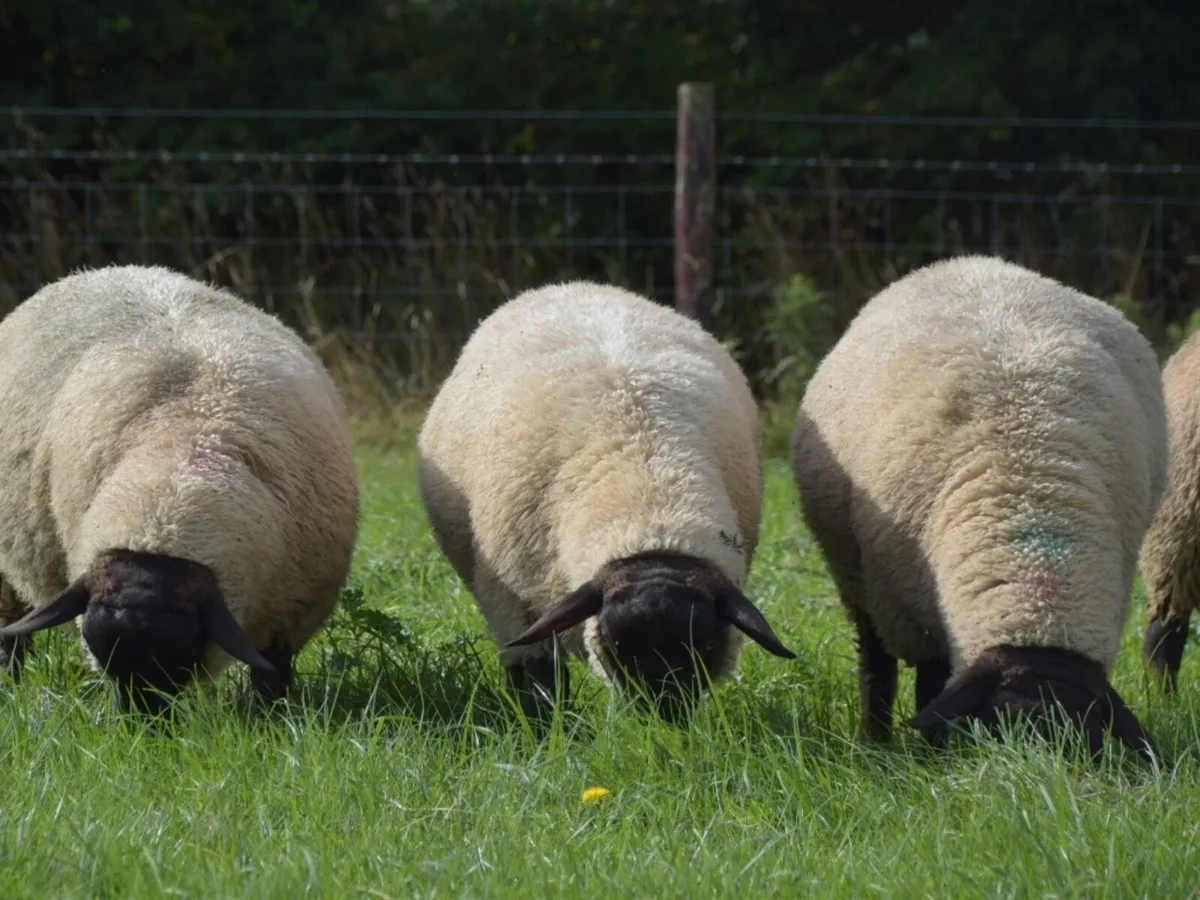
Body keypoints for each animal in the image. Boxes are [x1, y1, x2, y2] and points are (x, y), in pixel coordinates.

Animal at [0, 265, 359, 713]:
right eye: (101, 652)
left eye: (180, 651)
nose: (145, 723)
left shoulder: (290, 609)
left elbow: (271, 673)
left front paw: (270, 714)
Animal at [416, 280, 795, 723]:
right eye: (617, 645)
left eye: (705, 645)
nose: (665, 721)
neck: (648, 491)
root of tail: (574, 285)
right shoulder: (512, 601)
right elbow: (540, 679)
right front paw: (548, 728)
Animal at [791, 255, 1166, 759]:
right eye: (997, 726)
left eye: (1085, 736)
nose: (1036, 775)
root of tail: (966, 262)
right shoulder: (909, 606)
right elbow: (929, 688)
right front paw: (931, 753)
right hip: (861, 578)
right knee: (876, 661)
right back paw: (875, 738)